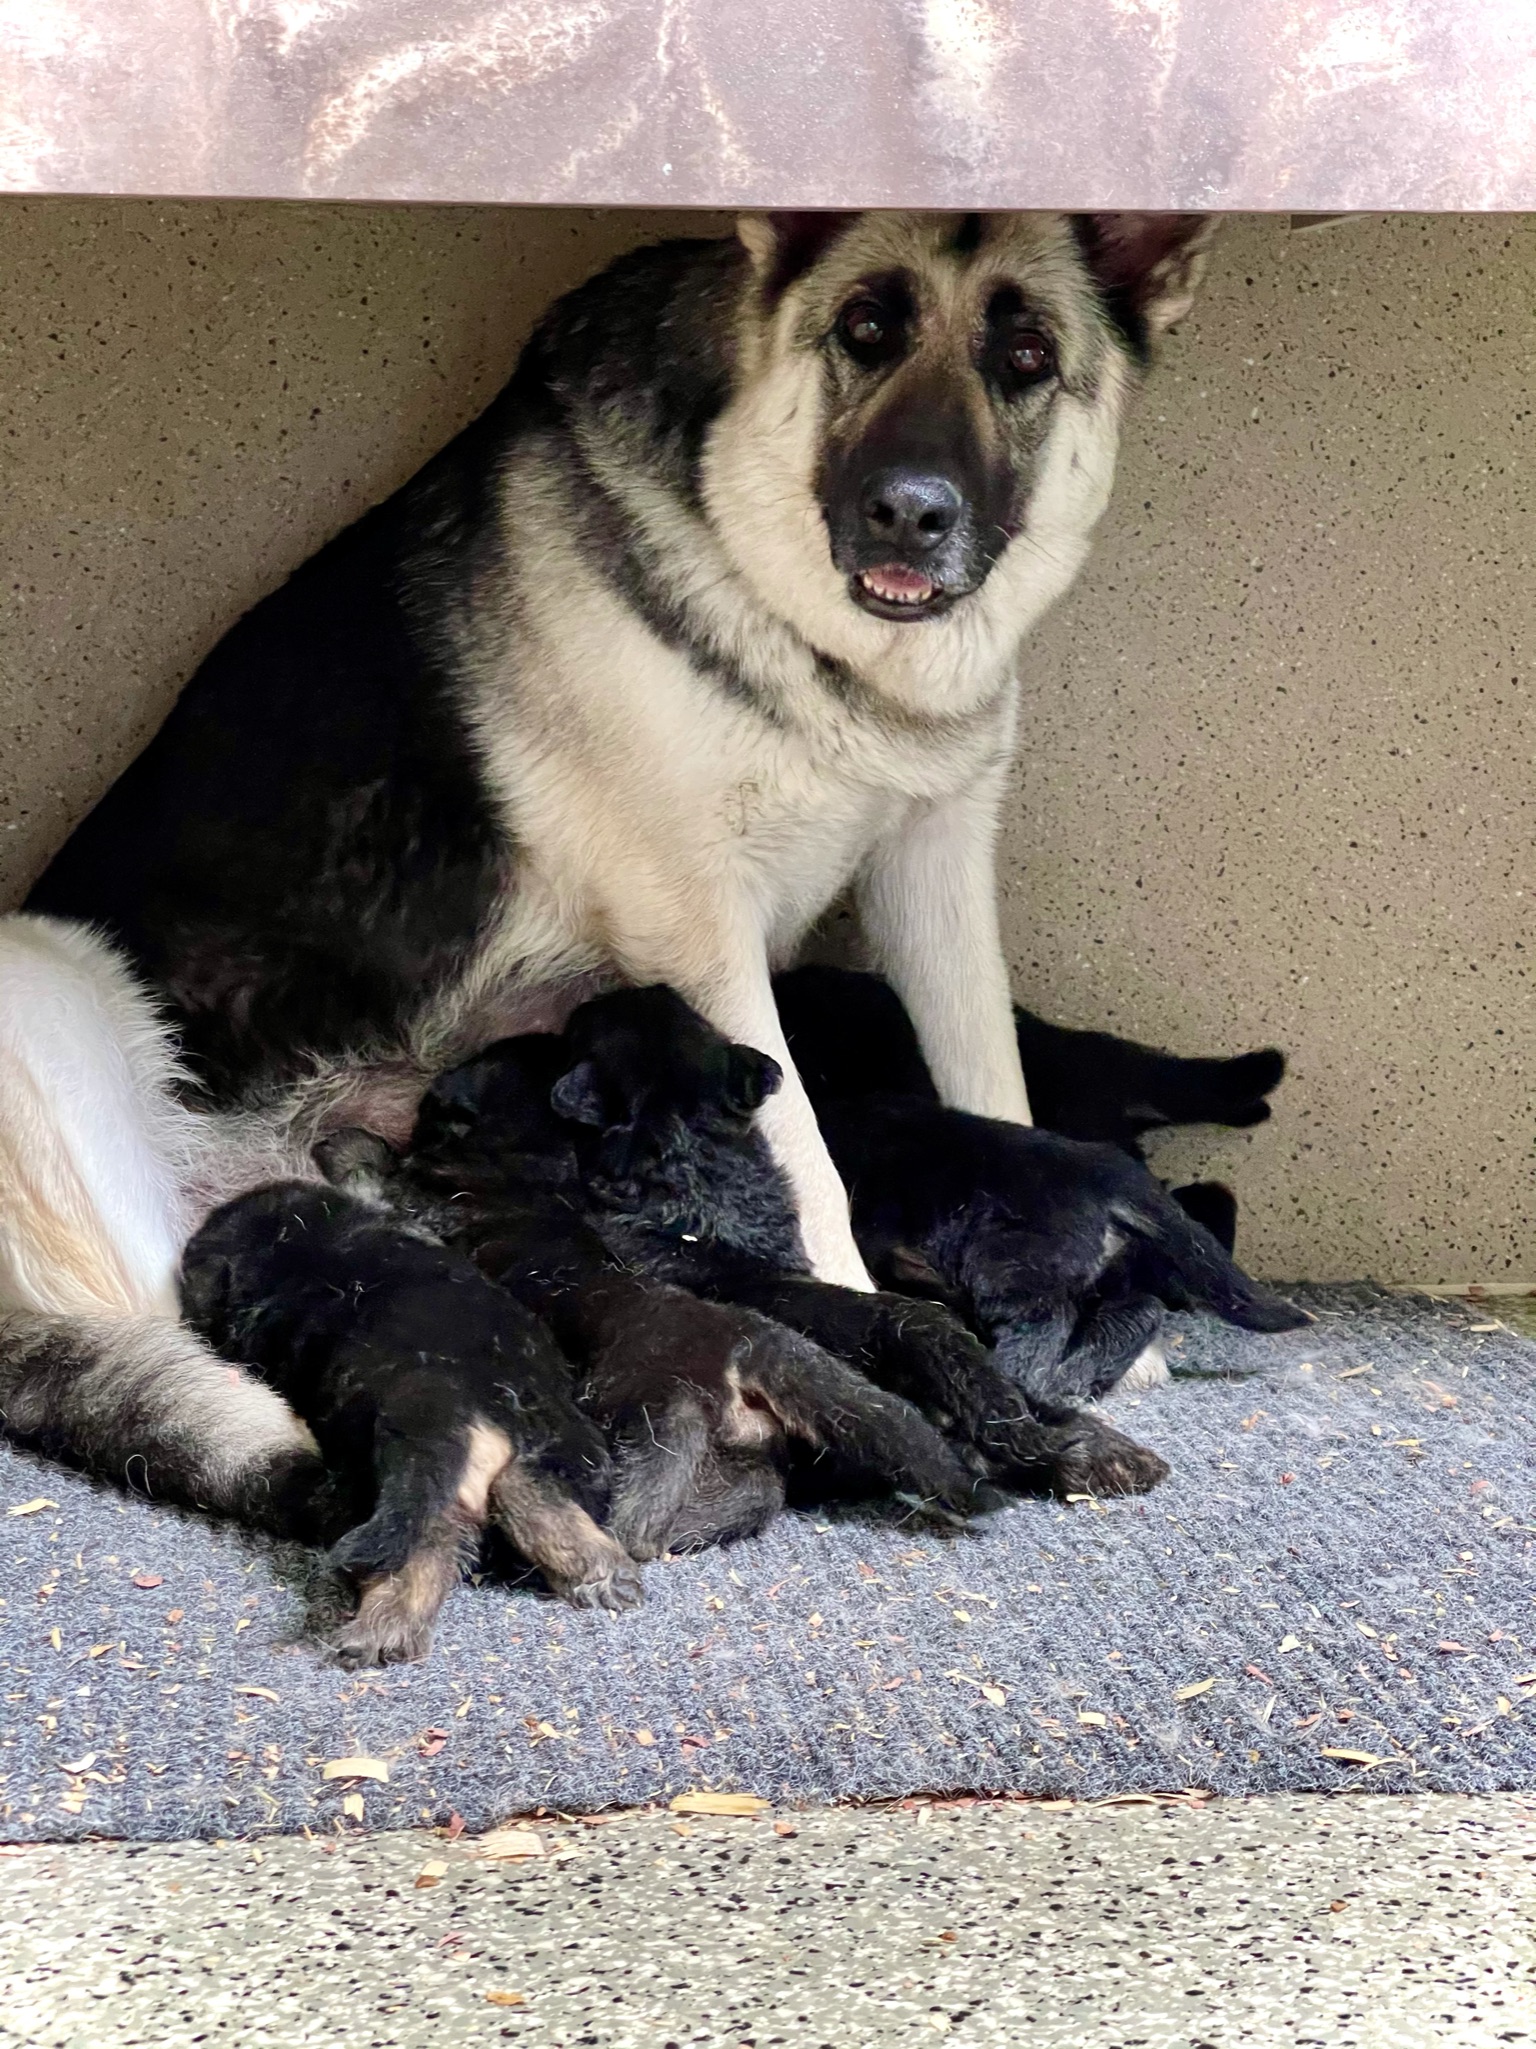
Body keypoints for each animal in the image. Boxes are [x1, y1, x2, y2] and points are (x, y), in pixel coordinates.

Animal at [15, 212, 1212, 1491]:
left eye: (1027, 357)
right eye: (865, 330)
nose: (909, 511)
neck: (777, 597)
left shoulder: (935, 869)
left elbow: (995, 1082)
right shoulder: (702, 927)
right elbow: (805, 1151)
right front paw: (861, 1316)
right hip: (45, 996)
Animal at [180, 1188, 643, 1663]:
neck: (305, 1240)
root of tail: (460, 1402)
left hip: (378, 1485)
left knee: (421, 1543)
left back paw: (382, 1630)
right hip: (571, 1438)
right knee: (522, 1489)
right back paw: (599, 1572)